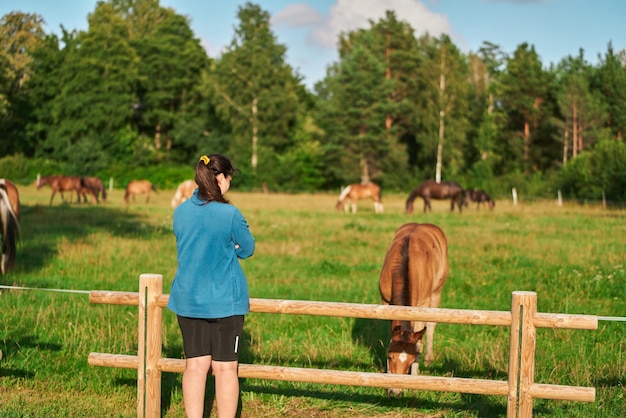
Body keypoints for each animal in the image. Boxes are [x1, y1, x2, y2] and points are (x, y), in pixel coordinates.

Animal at [378, 222, 446, 396]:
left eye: (410, 360)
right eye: (390, 357)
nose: (395, 392)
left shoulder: (422, 305)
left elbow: (419, 341)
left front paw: (414, 380)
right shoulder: (386, 302)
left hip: (436, 293)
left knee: (431, 326)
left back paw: (428, 358)